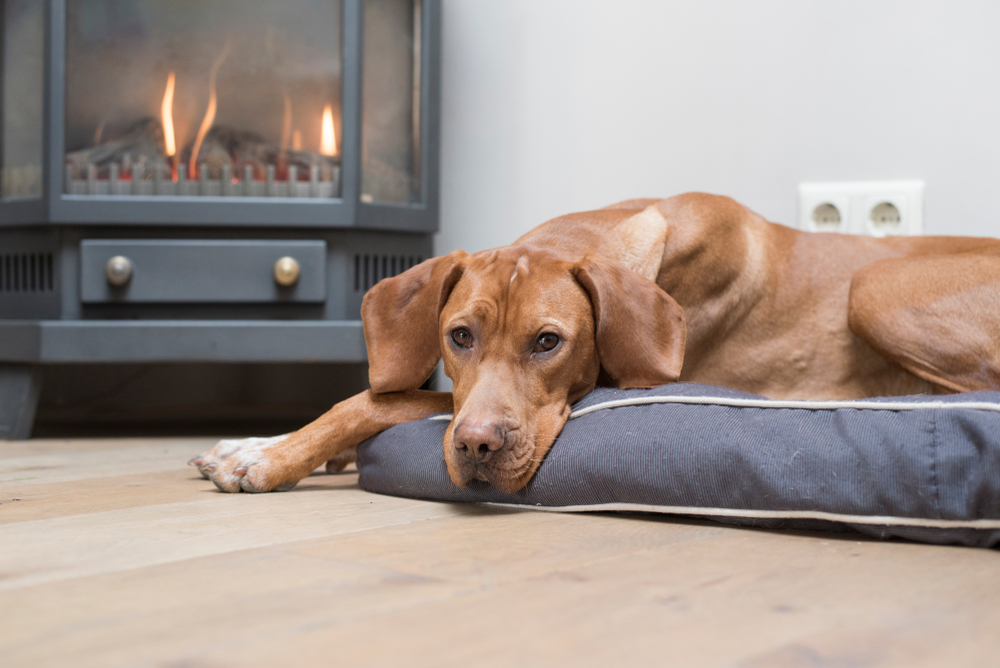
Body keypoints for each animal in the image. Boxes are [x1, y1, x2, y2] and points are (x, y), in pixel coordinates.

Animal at [188, 190, 1000, 494]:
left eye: (549, 341)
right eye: (458, 335)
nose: (478, 447)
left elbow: (380, 401)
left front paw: (269, 458)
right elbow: (389, 390)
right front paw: (258, 442)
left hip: (877, 286)